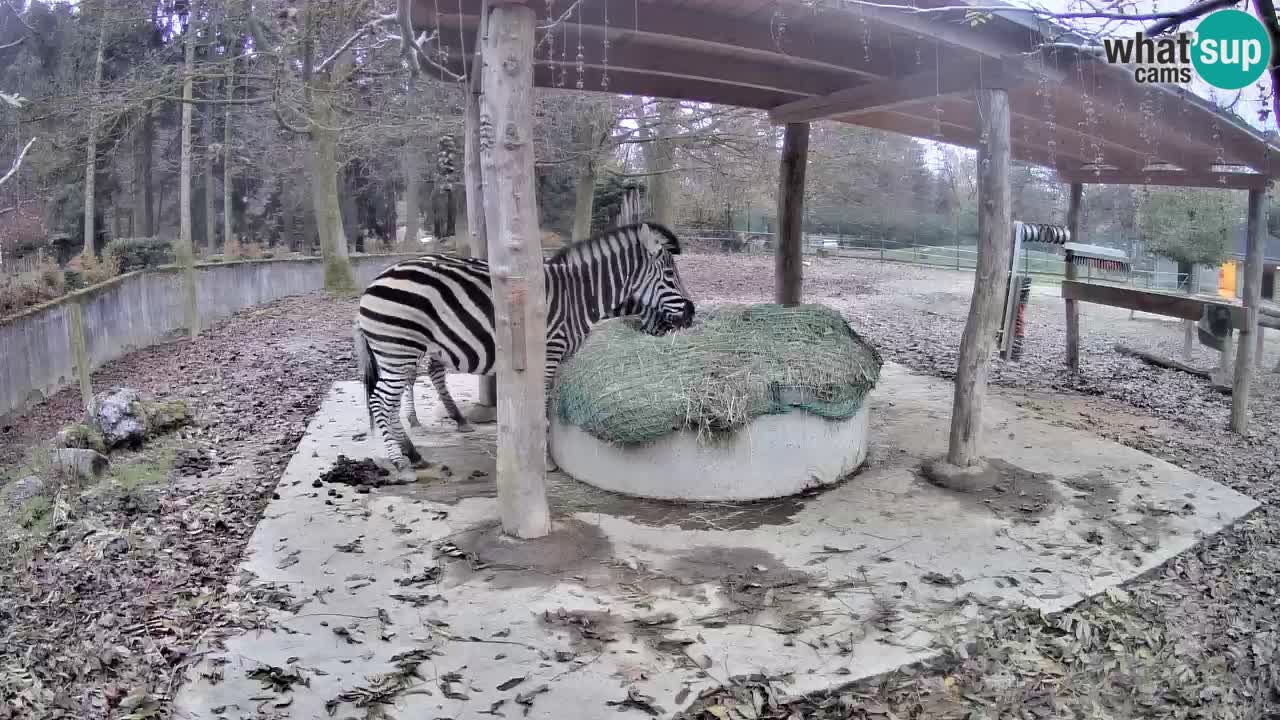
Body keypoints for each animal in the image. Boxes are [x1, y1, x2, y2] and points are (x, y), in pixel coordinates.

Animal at [350, 222, 696, 471]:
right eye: (669, 275)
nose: (692, 314)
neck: (577, 297)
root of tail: (373, 283)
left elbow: (550, 405)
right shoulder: (549, 352)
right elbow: (541, 406)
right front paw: (547, 461)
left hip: (401, 352)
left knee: (392, 399)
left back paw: (413, 452)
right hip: (399, 348)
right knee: (381, 400)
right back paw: (399, 460)